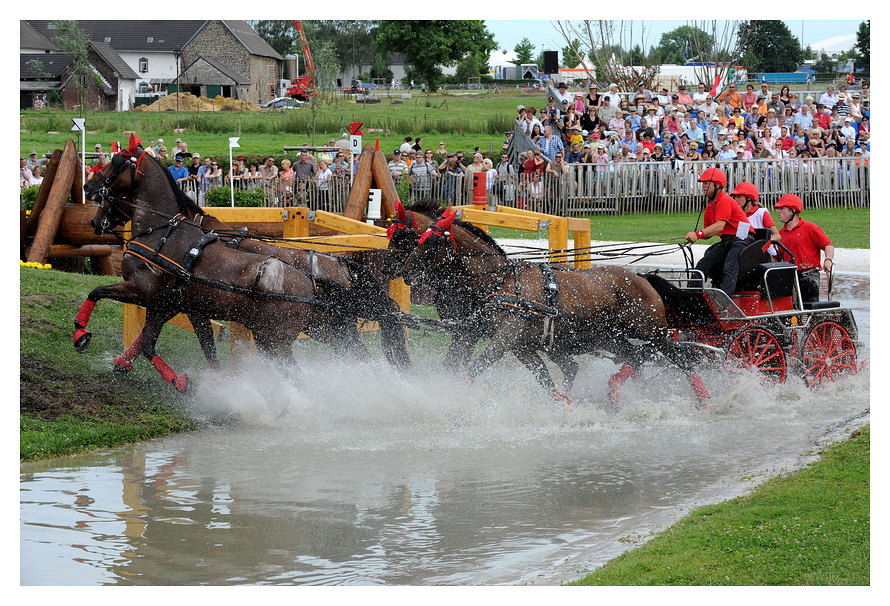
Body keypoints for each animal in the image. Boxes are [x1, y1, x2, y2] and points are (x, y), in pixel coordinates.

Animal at [388, 208, 708, 408]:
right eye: (417, 240)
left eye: (429, 244)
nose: (404, 271)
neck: (501, 282)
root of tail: (641, 277)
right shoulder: (518, 345)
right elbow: (544, 380)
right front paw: (567, 407)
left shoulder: (503, 337)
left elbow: (476, 367)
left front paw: (448, 398)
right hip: (610, 337)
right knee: (636, 358)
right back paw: (616, 391)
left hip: (653, 332)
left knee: (681, 360)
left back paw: (705, 401)